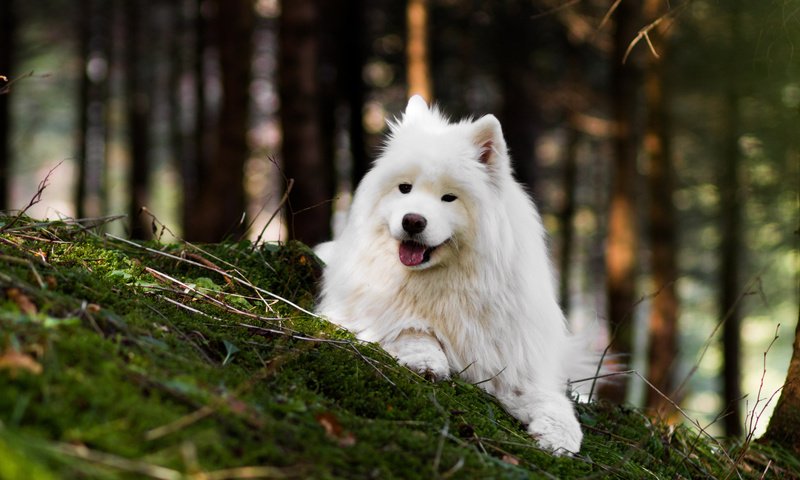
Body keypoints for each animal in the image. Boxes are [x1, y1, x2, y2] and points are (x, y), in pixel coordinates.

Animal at [314, 94, 592, 454]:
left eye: (449, 197)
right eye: (405, 188)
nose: (412, 220)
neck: (446, 281)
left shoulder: (513, 363)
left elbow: (553, 401)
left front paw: (560, 436)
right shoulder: (370, 312)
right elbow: (412, 329)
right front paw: (427, 360)